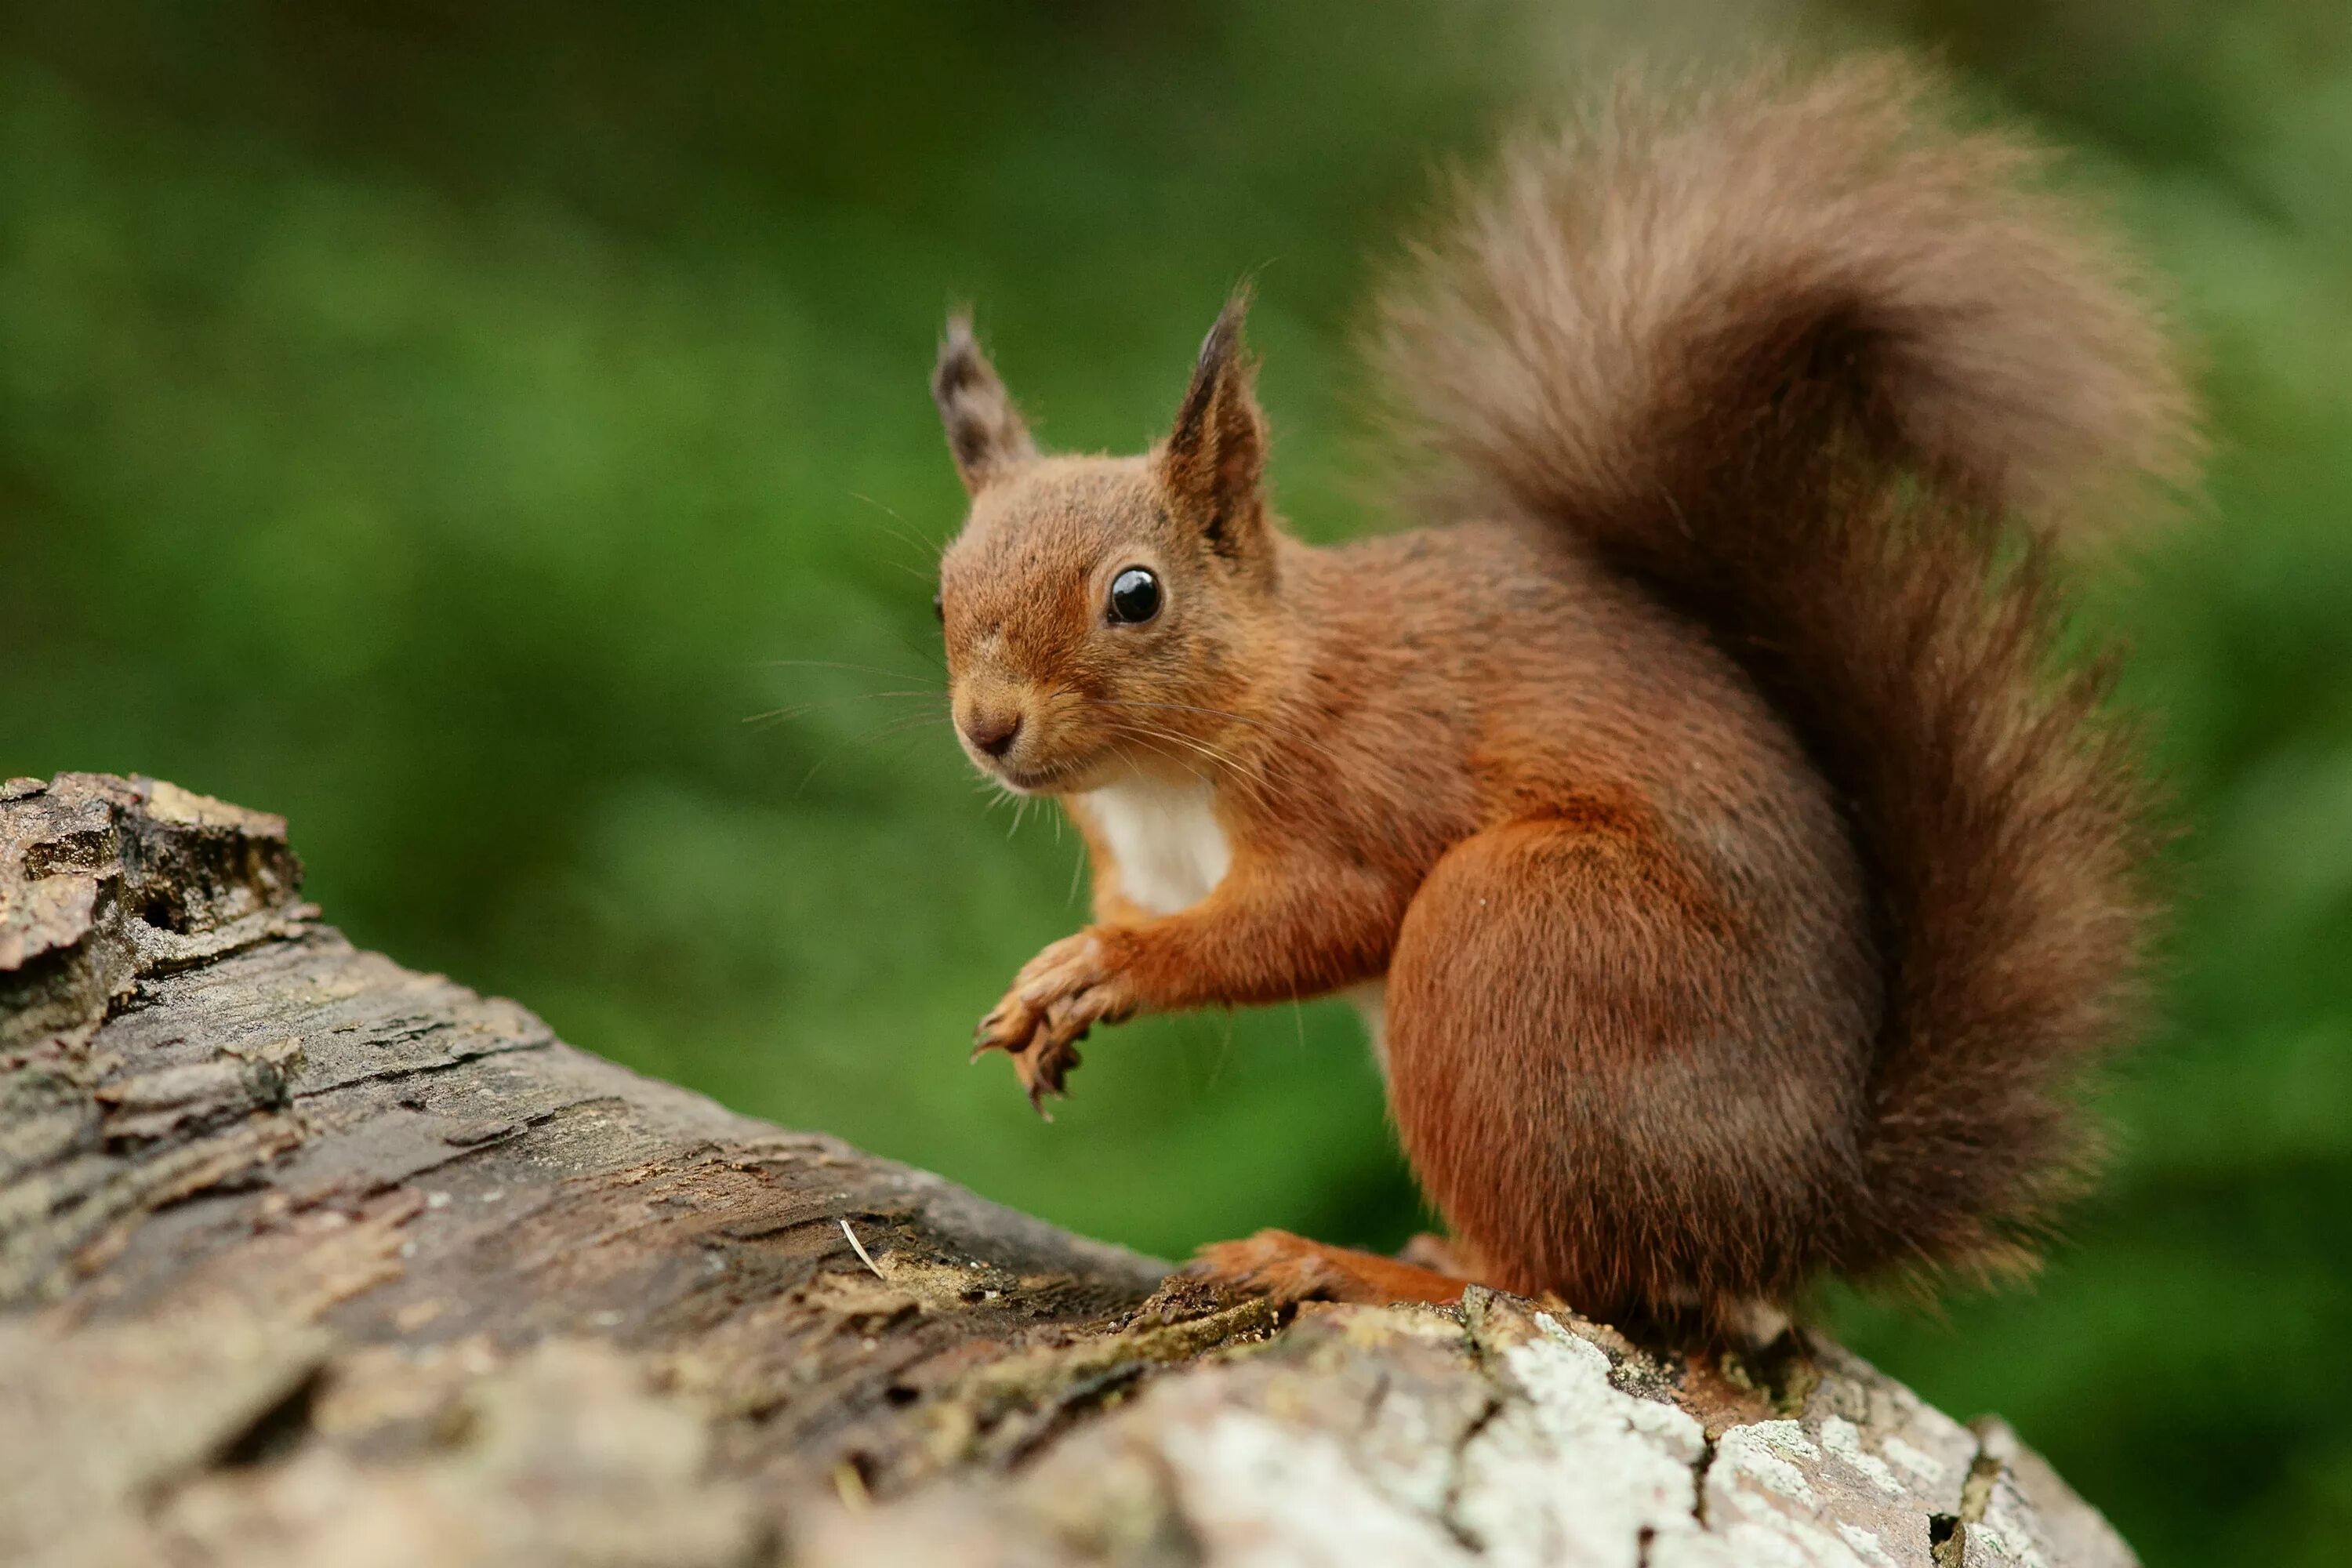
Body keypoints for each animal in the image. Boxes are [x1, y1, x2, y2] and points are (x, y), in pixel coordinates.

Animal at [917, 58, 2183, 1335]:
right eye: (940, 597)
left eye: (1136, 595)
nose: (989, 729)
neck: (1162, 779)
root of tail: (1804, 1200)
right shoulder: (1139, 859)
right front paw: (1043, 993)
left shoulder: (1365, 779)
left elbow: (1318, 919)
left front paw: (1109, 967)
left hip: (1518, 937)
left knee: (1552, 1274)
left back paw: (1344, 1263)